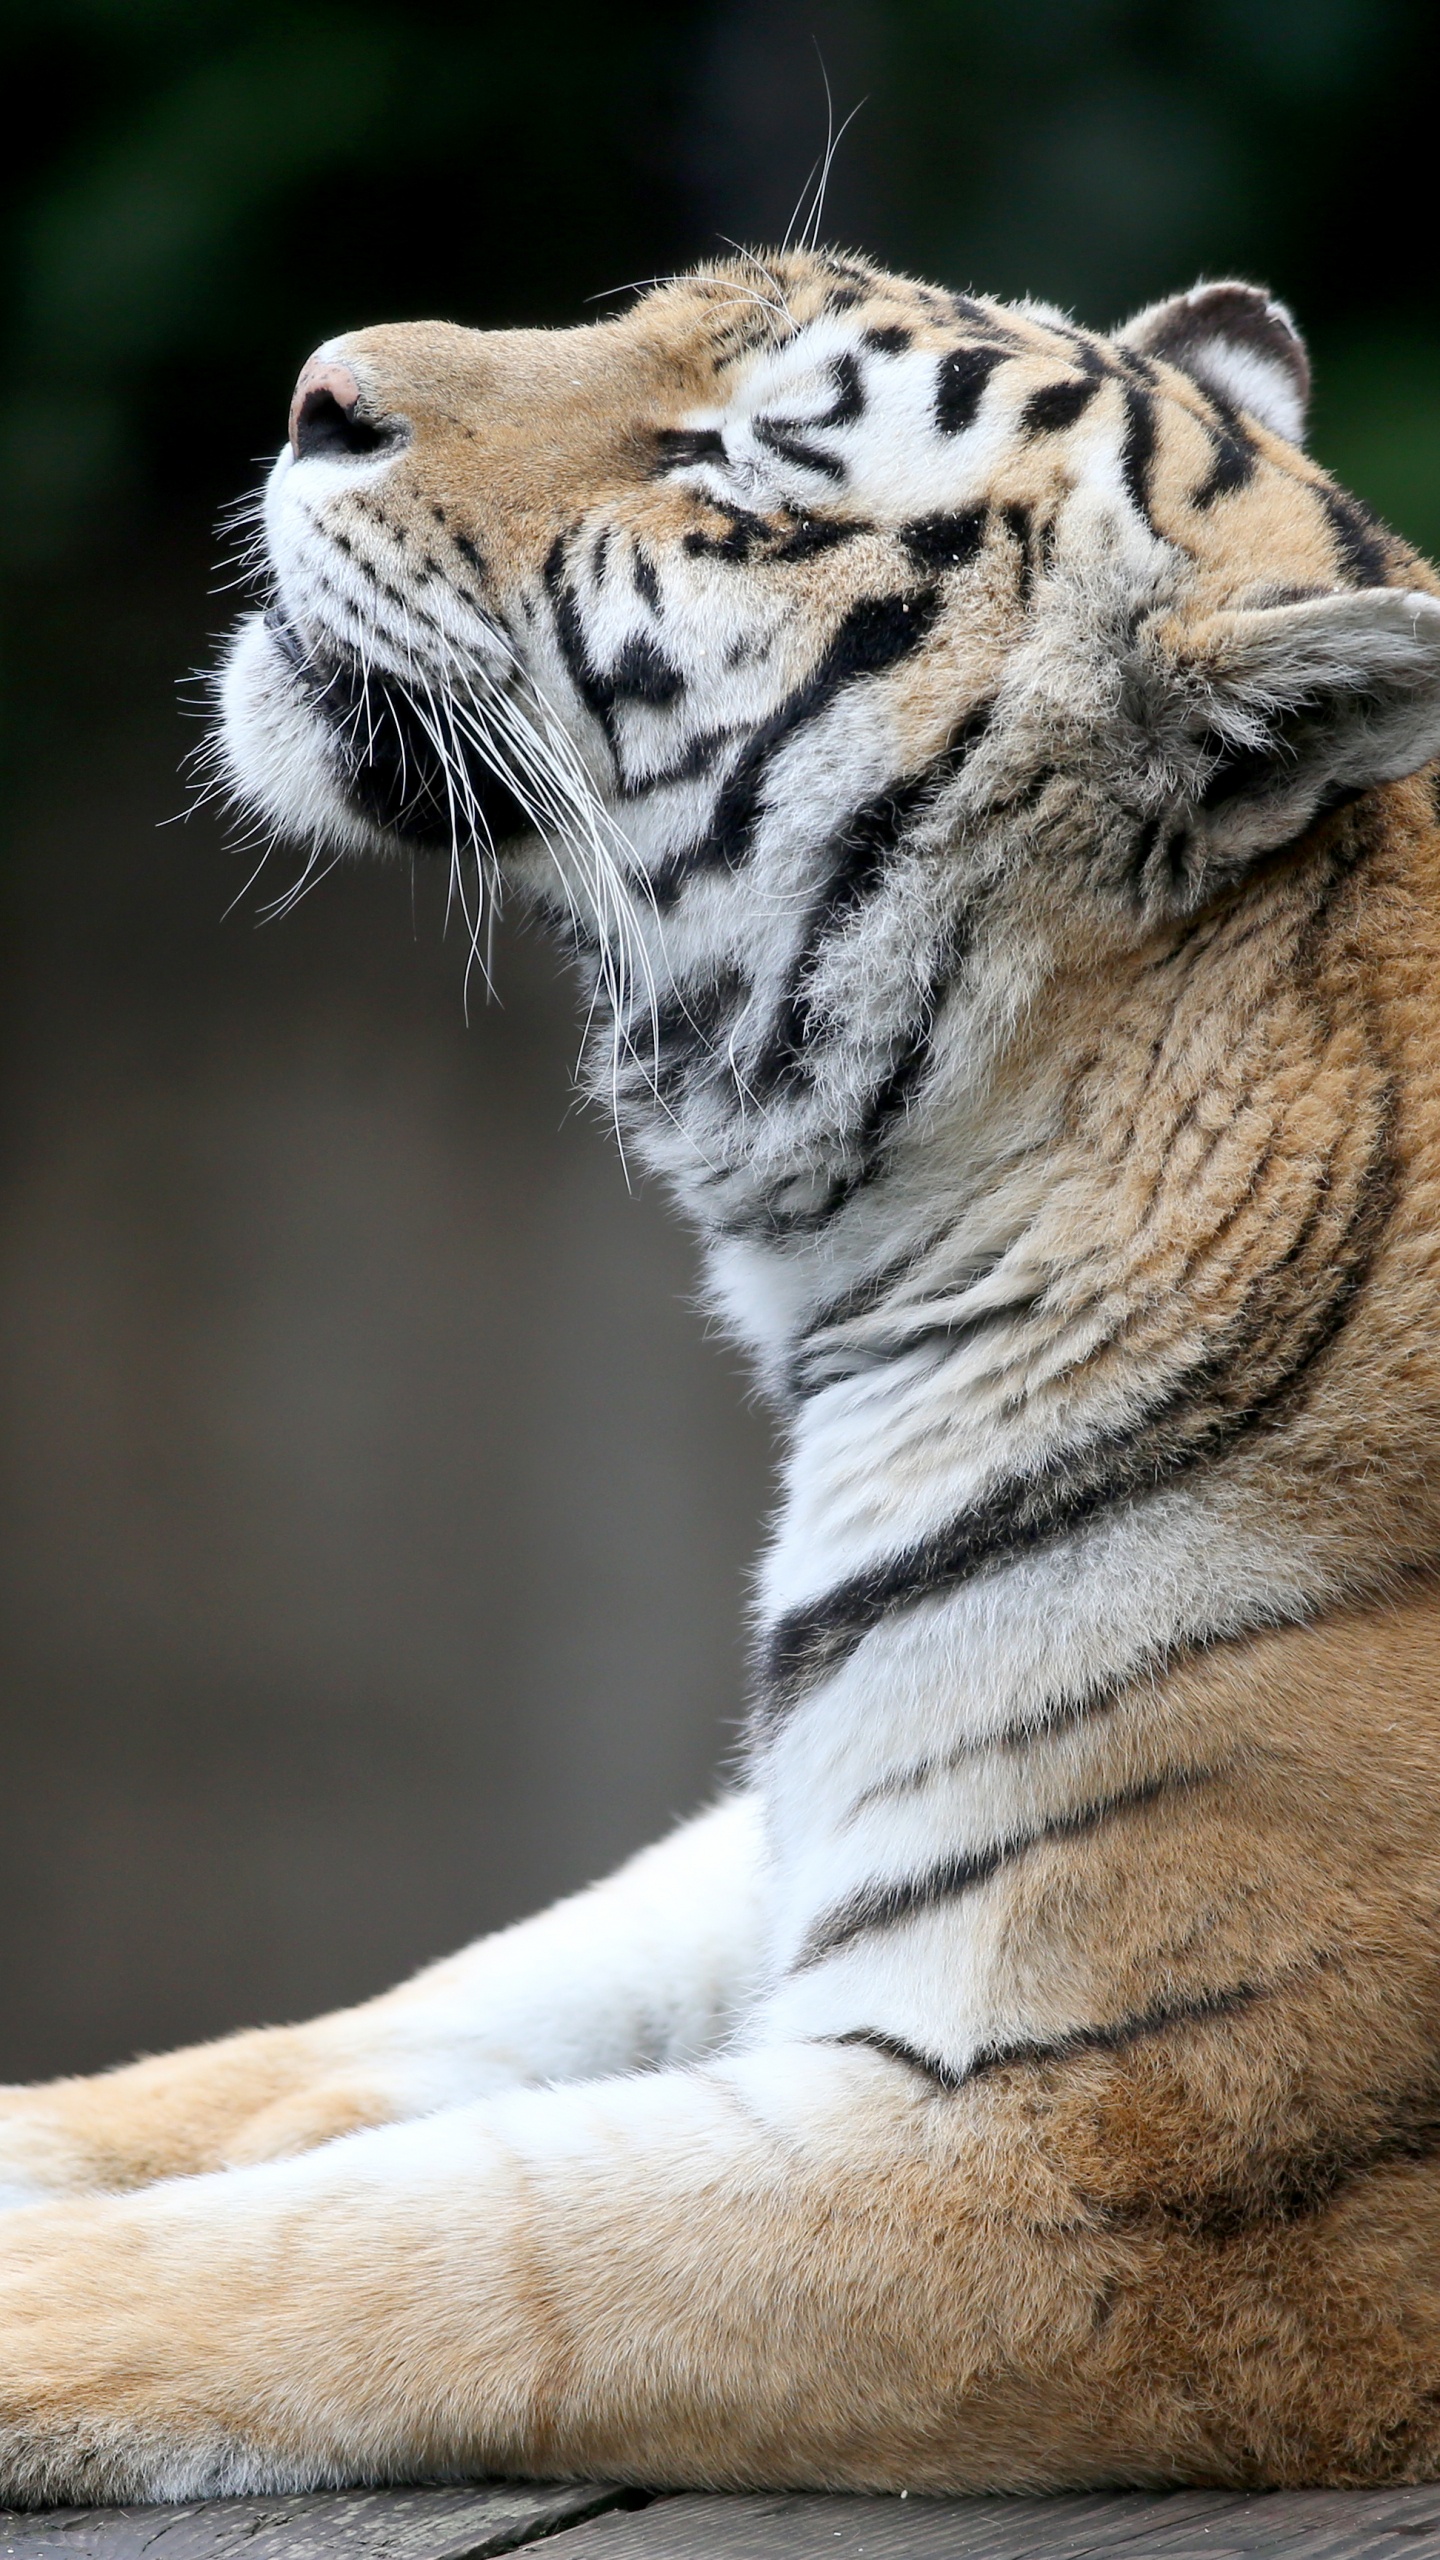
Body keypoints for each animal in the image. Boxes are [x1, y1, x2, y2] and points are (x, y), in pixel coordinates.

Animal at [2, 245, 1440, 2506]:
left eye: (744, 471)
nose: (315, 391)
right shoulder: (786, 1836)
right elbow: (364, 2038)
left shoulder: (1096, 2153)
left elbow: (443, 2239)